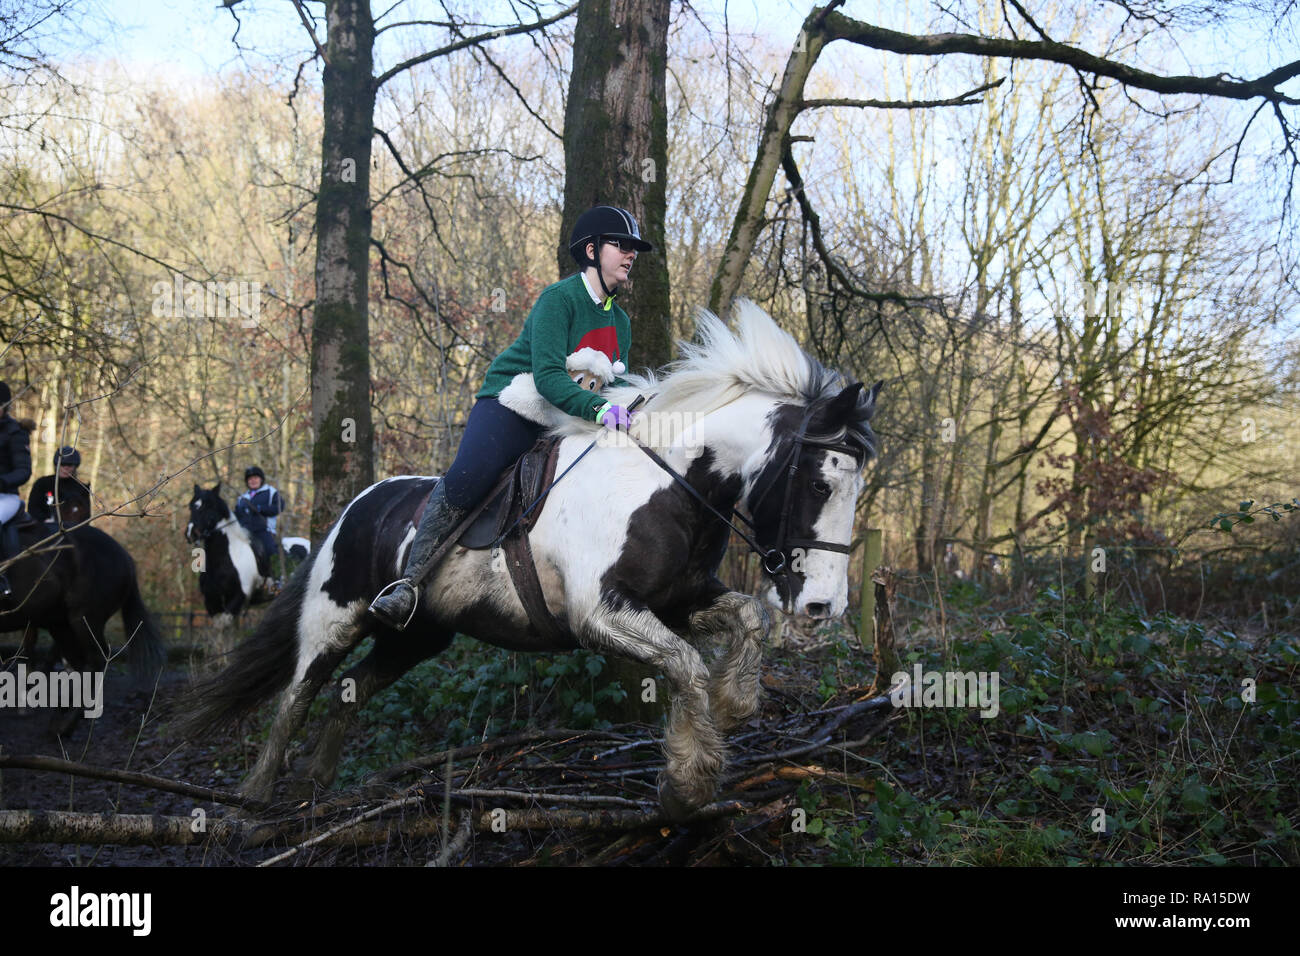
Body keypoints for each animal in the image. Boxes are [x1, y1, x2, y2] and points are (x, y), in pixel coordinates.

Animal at [0, 515, 165, 733]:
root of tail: (125, 557)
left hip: (84, 619)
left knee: (96, 660)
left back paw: (65, 723)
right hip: (60, 623)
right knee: (77, 662)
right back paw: (61, 711)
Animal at [180, 302, 882, 819]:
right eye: (818, 482)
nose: (824, 606)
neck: (669, 482)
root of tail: (358, 505)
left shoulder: (676, 600)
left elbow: (748, 620)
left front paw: (734, 705)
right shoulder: (601, 614)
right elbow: (686, 665)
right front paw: (688, 783)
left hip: (419, 635)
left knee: (353, 691)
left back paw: (315, 786)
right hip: (336, 617)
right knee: (298, 693)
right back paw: (254, 796)